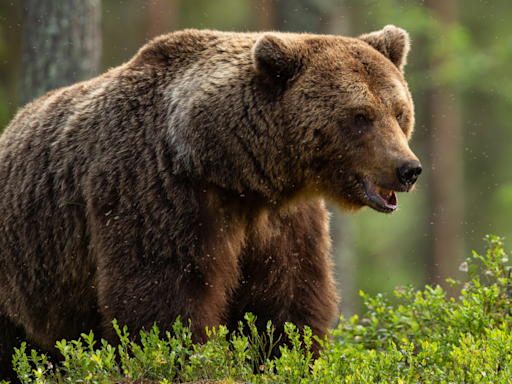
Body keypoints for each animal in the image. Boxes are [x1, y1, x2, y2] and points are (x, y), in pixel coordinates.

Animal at [0, 24, 420, 380]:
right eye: (360, 116)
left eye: (399, 112)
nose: (408, 168)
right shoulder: (159, 194)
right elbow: (164, 307)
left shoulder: (281, 222)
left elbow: (287, 305)